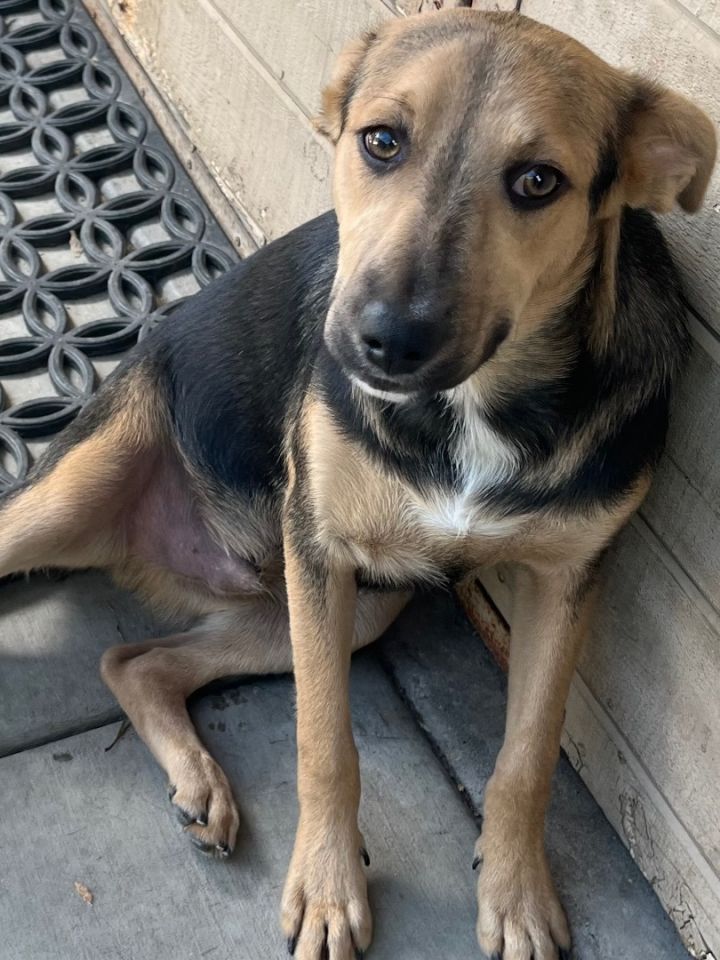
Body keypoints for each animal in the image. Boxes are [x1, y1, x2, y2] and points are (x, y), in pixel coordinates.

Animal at [0, 9, 716, 960]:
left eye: (538, 181)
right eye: (381, 140)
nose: (386, 340)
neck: (471, 409)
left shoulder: (566, 578)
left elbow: (529, 752)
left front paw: (517, 893)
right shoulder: (323, 547)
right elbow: (324, 743)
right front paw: (328, 887)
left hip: (345, 607)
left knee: (134, 661)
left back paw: (197, 781)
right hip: (89, 498)